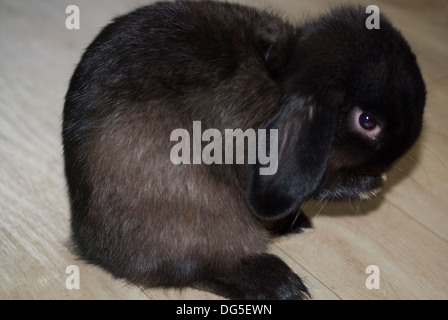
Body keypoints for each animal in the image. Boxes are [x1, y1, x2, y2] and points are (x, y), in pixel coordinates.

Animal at [62, 0, 424, 300]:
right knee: (199, 268)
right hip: (200, 212)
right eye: (367, 121)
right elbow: (321, 184)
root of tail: (91, 245)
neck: (281, 83)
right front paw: (367, 186)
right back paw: (281, 284)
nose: (395, 162)